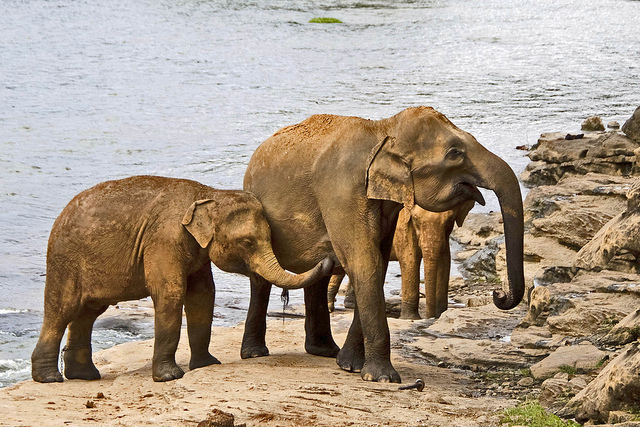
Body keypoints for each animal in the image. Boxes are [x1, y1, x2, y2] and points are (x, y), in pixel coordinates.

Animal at [31, 175, 332, 383]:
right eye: (247, 242)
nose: (329, 256)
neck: (209, 194)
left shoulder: (195, 250)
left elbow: (203, 295)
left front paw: (208, 365)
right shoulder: (164, 240)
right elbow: (171, 293)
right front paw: (169, 377)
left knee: (88, 312)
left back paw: (84, 376)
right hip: (65, 260)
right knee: (62, 309)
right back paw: (50, 378)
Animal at [327, 201, 475, 320]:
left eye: (449, 220)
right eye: (416, 219)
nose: (431, 317)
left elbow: (446, 261)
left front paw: (442, 314)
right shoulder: (402, 227)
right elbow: (410, 259)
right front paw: (411, 318)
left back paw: (351, 305)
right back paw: (331, 307)